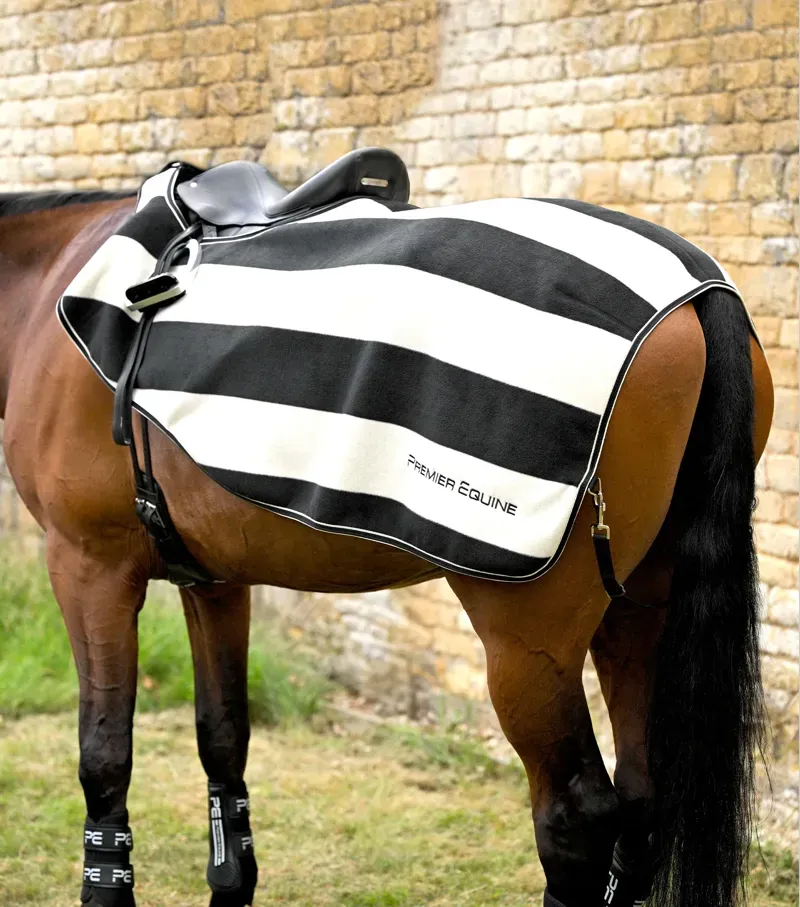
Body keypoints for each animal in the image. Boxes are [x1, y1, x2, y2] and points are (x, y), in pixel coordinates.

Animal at [0, 186, 774, 907]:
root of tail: (698, 292)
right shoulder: (213, 579)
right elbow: (222, 735)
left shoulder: (88, 566)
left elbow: (104, 754)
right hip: (637, 612)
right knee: (643, 795)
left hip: (530, 640)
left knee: (576, 815)